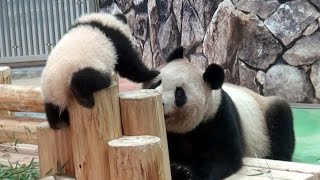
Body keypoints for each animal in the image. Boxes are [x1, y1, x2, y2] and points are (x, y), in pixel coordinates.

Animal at [142, 46, 296, 180]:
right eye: (157, 83)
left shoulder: (217, 117)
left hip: (265, 115)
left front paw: (186, 173)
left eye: (179, 93)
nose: (160, 102)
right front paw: (178, 169)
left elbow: (223, 157)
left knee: (280, 123)